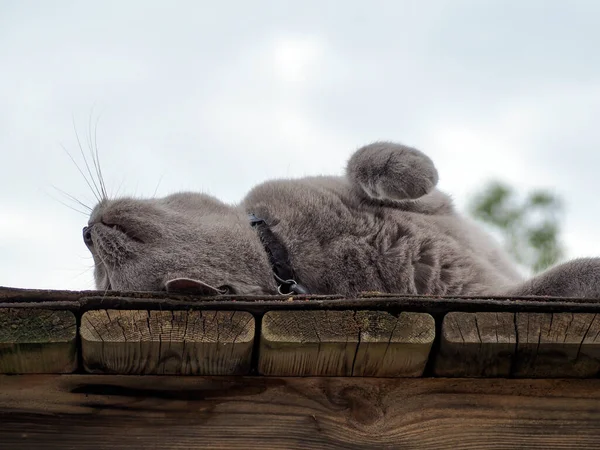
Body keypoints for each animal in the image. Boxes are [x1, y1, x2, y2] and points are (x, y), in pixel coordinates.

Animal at [82, 141, 600, 300]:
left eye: (123, 230)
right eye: (105, 283)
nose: (85, 232)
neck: (289, 251)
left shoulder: (440, 206)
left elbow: (365, 160)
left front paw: (409, 170)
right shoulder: (477, 293)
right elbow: (566, 277)